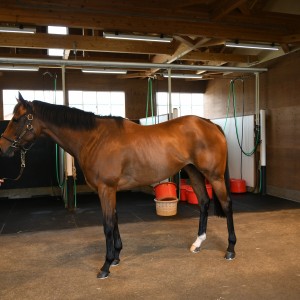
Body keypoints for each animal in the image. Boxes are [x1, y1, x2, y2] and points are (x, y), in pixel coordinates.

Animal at [0, 93, 236, 278]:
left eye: (17, 119)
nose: (2, 147)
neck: (94, 139)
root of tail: (209, 124)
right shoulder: (110, 190)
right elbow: (114, 220)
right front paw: (116, 257)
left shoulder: (106, 189)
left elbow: (107, 225)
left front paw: (105, 266)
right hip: (194, 172)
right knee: (204, 202)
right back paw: (198, 243)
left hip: (214, 176)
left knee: (227, 205)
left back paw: (230, 249)